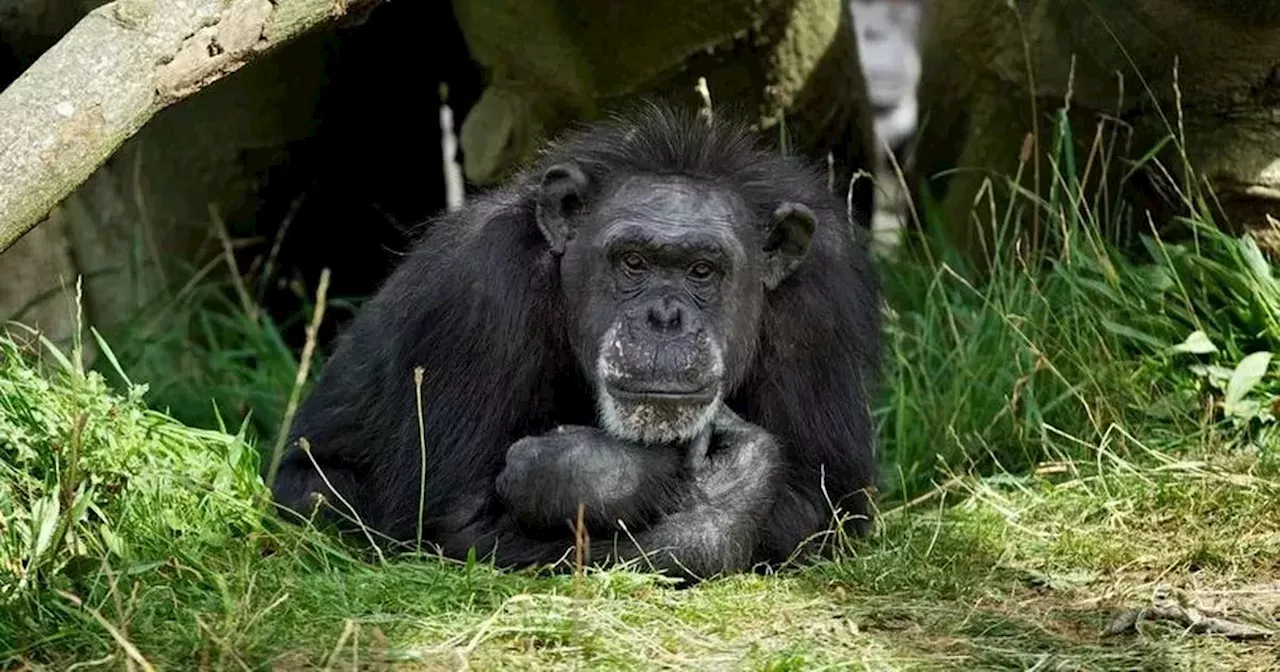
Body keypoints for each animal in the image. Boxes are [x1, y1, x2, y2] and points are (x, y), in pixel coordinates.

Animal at [270, 102, 880, 578]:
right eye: (633, 262)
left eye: (702, 271)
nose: (664, 317)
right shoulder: (479, 292)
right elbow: (457, 525)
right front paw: (626, 475)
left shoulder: (820, 306)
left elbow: (819, 503)